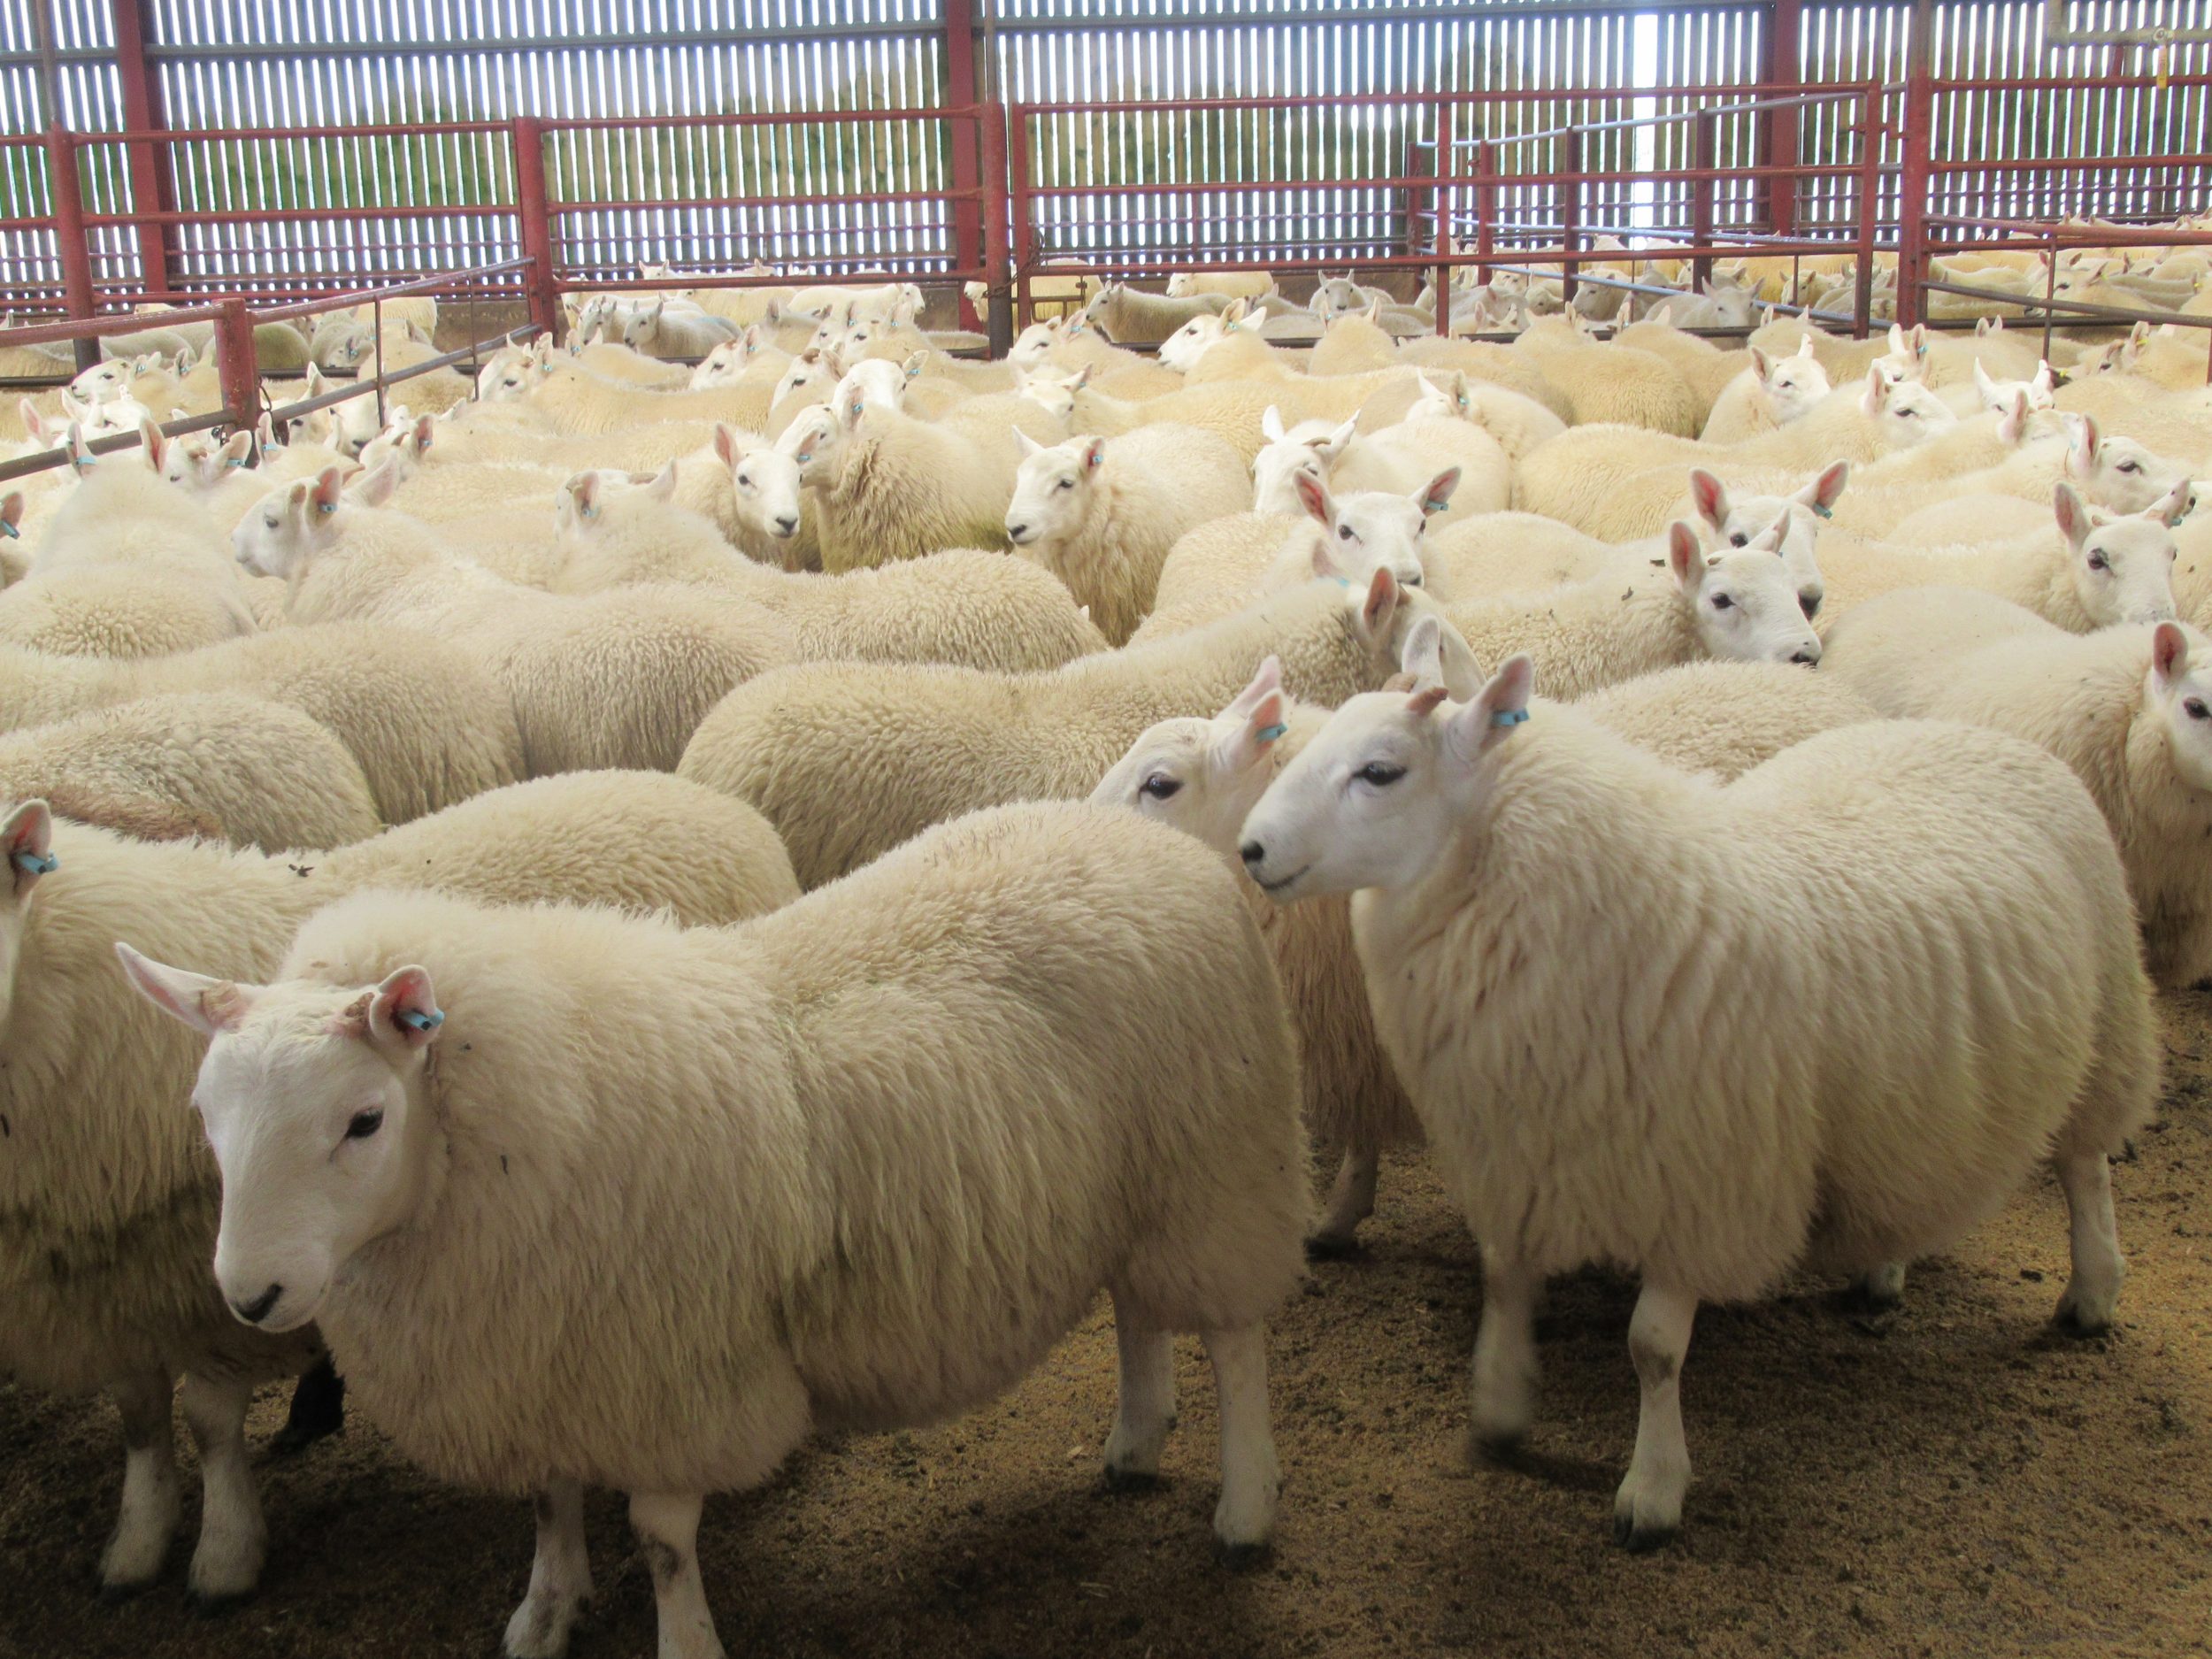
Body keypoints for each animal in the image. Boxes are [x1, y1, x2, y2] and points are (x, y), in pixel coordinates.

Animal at [1, 770, 798, 1604]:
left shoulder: (194, 1298)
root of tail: (684, 788)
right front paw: (137, 1537)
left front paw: (223, 1551)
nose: (254, 1294)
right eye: (203, 1110)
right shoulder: (107, 1283)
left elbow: (208, 1420)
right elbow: (140, 1414)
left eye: (365, 1121)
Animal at [123, 797, 1306, 1657]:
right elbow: (549, 1503)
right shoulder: (544, 1358)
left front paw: (682, 1641)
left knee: (1235, 1340)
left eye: (363, 1119)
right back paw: (1135, 1441)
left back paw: (1244, 1510)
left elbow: (660, 1543)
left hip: (1218, 1168)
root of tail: (1156, 842)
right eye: (204, 1114)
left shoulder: (672, 1371)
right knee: (1137, 1310)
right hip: (1138, 1187)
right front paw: (544, 1613)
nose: (251, 1295)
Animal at [1236, 661, 2156, 1549]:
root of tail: (1983, 735)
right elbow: (1504, 1278)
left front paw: (1652, 1489)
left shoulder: (1700, 1175)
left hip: (2108, 1024)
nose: (1250, 847)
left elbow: (1652, 1349)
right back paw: (1883, 1267)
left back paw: (2093, 1291)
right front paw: (1499, 1403)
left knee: (2085, 1166)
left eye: (1381, 771)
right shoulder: (1524, 1144)